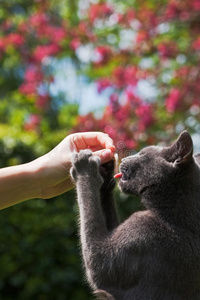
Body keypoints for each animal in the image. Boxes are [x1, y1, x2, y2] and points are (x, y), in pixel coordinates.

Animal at [70, 131, 200, 300]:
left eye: (143, 153)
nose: (124, 158)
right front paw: (105, 169)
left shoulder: (139, 234)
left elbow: (99, 266)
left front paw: (85, 166)